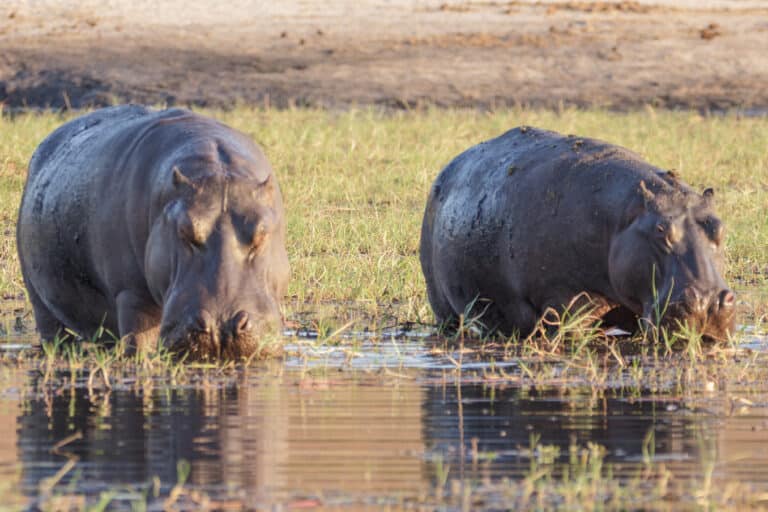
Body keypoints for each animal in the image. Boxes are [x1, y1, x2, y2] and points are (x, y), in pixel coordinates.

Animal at [17, 105, 290, 359]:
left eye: (262, 233)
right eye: (184, 230)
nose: (220, 326)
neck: (214, 166)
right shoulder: (131, 294)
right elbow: (139, 344)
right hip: (41, 302)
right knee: (53, 330)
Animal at [419, 127, 735, 341]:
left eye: (720, 228)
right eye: (660, 230)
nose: (709, 303)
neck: (623, 218)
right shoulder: (565, 301)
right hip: (443, 308)